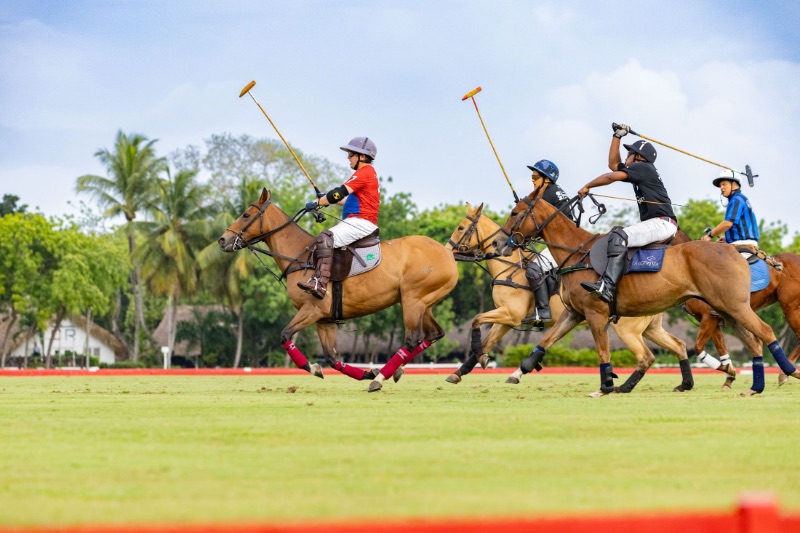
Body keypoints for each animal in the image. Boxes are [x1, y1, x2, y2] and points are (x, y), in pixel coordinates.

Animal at [218, 189, 459, 392]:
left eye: (246, 215)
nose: (222, 240)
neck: (300, 255)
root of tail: (448, 254)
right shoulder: (325, 319)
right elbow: (332, 357)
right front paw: (365, 372)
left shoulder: (312, 309)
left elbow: (285, 335)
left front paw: (315, 368)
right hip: (424, 303)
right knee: (434, 334)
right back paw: (391, 372)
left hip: (412, 299)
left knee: (412, 339)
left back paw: (381, 379)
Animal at [445, 202, 693, 393]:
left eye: (460, 227)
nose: (448, 250)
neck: (509, 267)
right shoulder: (506, 320)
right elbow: (486, 341)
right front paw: (461, 371)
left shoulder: (510, 315)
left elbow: (477, 320)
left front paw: (482, 360)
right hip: (650, 327)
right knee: (678, 344)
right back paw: (683, 383)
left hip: (627, 328)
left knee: (647, 355)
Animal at [497, 185, 800, 396]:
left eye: (515, 213)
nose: (500, 242)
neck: (577, 253)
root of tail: (735, 250)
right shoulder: (574, 314)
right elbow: (546, 342)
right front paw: (518, 372)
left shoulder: (596, 314)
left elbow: (603, 353)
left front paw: (605, 386)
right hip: (728, 310)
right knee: (754, 342)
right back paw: (755, 386)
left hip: (742, 306)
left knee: (766, 333)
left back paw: (787, 373)